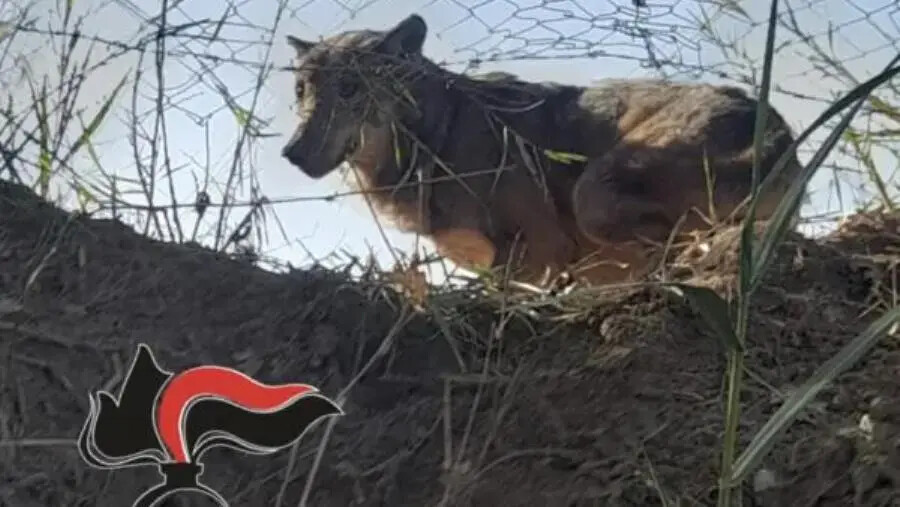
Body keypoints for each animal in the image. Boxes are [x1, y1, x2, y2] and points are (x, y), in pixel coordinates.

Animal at [281, 14, 803, 287]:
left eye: (350, 89)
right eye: (302, 91)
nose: (291, 152)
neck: (439, 135)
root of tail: (780, 135)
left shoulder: (537, 254)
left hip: (593, 194)